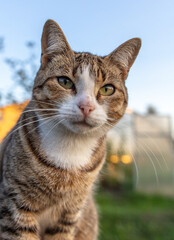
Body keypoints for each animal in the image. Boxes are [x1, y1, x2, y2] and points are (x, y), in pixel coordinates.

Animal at [0, 19, 141, 240]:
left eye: (107, 89)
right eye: (64, 82)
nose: (86, 106)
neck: (70, 149)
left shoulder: (69, 215)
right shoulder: (15, 205)